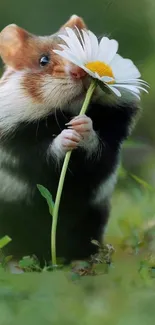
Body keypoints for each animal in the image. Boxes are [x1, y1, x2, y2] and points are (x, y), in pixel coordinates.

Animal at [0, 15, 140, 266]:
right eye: (43, 60)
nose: (79, 71)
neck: (68, 112)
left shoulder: (111, 141)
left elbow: (98, 146)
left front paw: (83, 126)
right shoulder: (20, 147)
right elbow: (45, 153)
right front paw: (68, 135)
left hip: (94, 215)